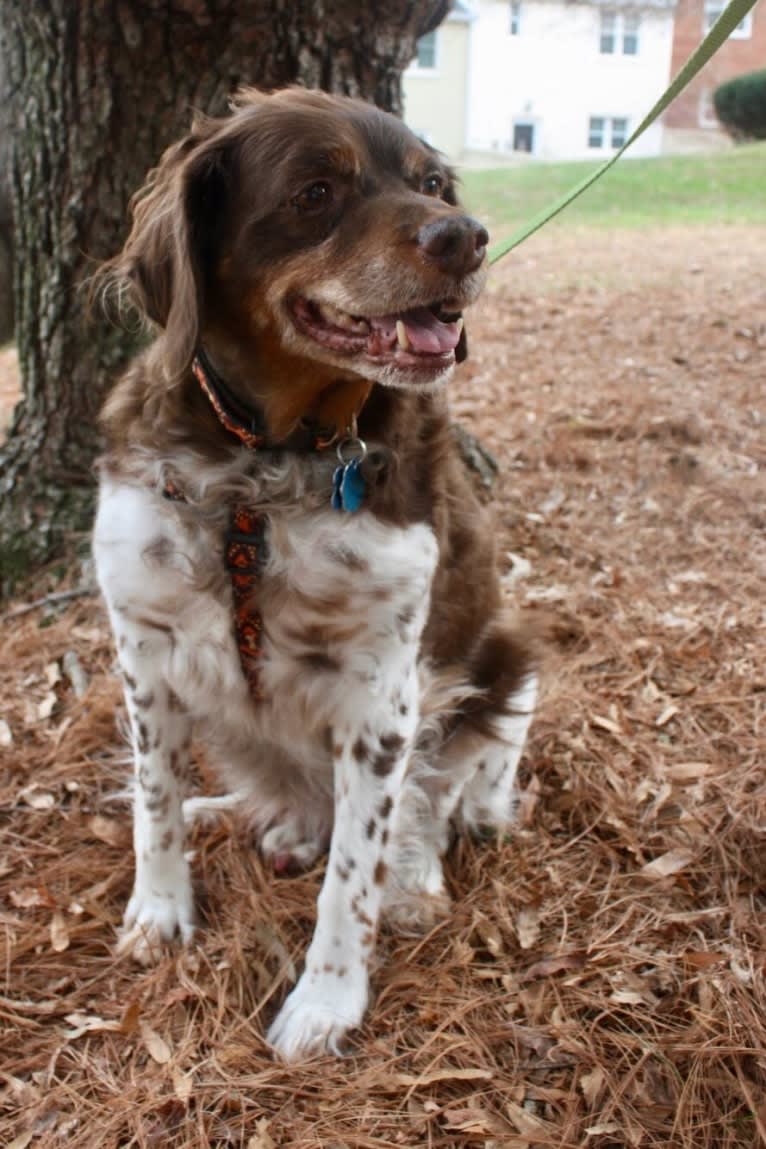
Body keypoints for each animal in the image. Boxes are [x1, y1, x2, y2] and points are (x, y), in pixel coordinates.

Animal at [93, 87, 537, 1057]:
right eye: (316, 191)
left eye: (432, 183)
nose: (467, 236)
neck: (264, 463)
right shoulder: (144, 648)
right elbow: (153, 800)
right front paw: (159, 910)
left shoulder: (383, 694)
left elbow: (354, 872)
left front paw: (327, 1001)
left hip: (510, 660)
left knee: (447, 797)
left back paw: (416, 874)